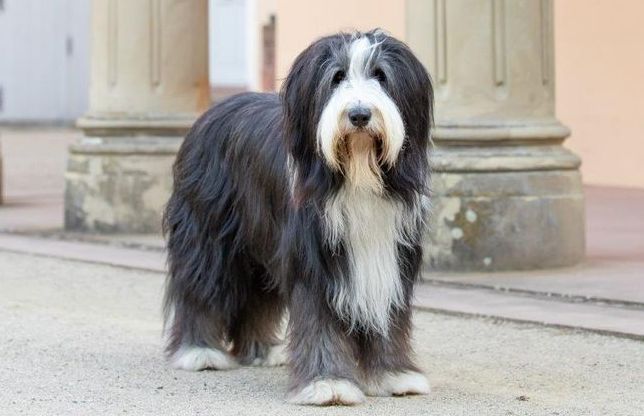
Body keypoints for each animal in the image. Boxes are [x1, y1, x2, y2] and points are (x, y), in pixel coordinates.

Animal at [162, 29, 433, 406]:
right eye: (337, 77)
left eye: (381, 75)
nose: (359, 115)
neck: (357, 174)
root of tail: (215, 109)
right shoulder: (314, 261)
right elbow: (319, 322)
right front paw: (328, 384)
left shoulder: (389, 260)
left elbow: (388, 319)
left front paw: (394, 375)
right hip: (208, 232)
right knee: (201, 284)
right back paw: (199, 351)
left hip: (259, 246)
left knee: (256, 298)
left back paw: (261, 350)